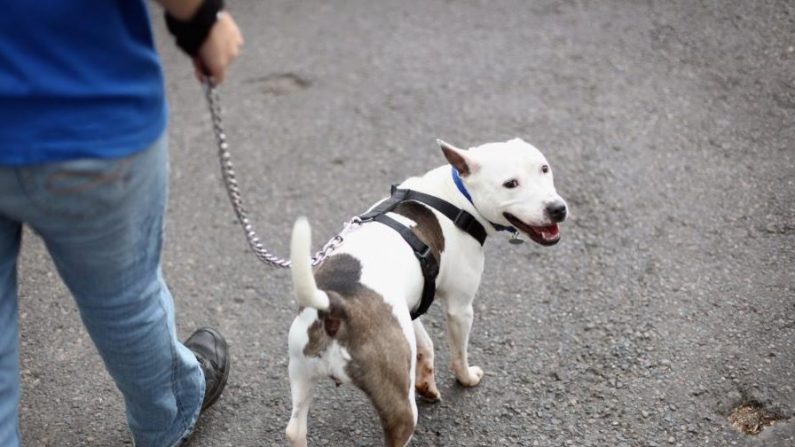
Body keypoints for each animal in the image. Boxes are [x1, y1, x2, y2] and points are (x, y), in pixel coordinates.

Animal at [284, 138, 564, 446]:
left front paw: (427, 384)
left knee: (295, 429)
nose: (558, 208)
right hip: (399, 406)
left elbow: (425, 344)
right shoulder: (460, 309)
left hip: (301, 372)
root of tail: (336, 306)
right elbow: (459, 353)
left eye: (544, 168)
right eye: (510, 183)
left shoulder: (408, 308)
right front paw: (467, 378)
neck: (457, 196)